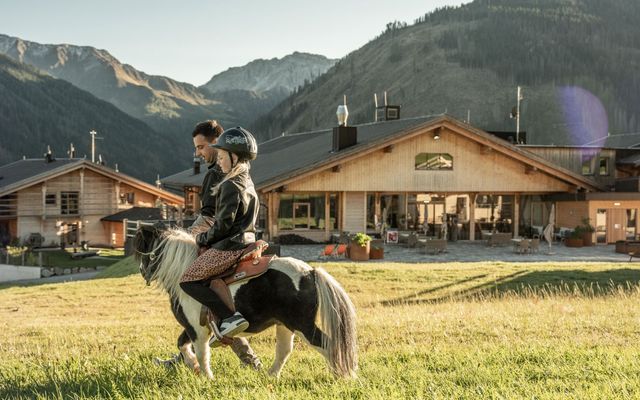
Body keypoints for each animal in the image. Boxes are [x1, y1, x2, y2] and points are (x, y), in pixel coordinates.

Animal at [133, 225, 358, 378]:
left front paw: (206, 377)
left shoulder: (196, 328)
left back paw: (341, 376)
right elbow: (182, 344)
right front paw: (192, 365)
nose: (143, 272)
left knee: (328, 346)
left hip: (303, 325)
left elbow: (202, 353)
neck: (182, 274)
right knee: (284, 351)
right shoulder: (195, 327)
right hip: (286, 325)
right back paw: (271, 377)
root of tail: (310, 272)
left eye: (144, 252)